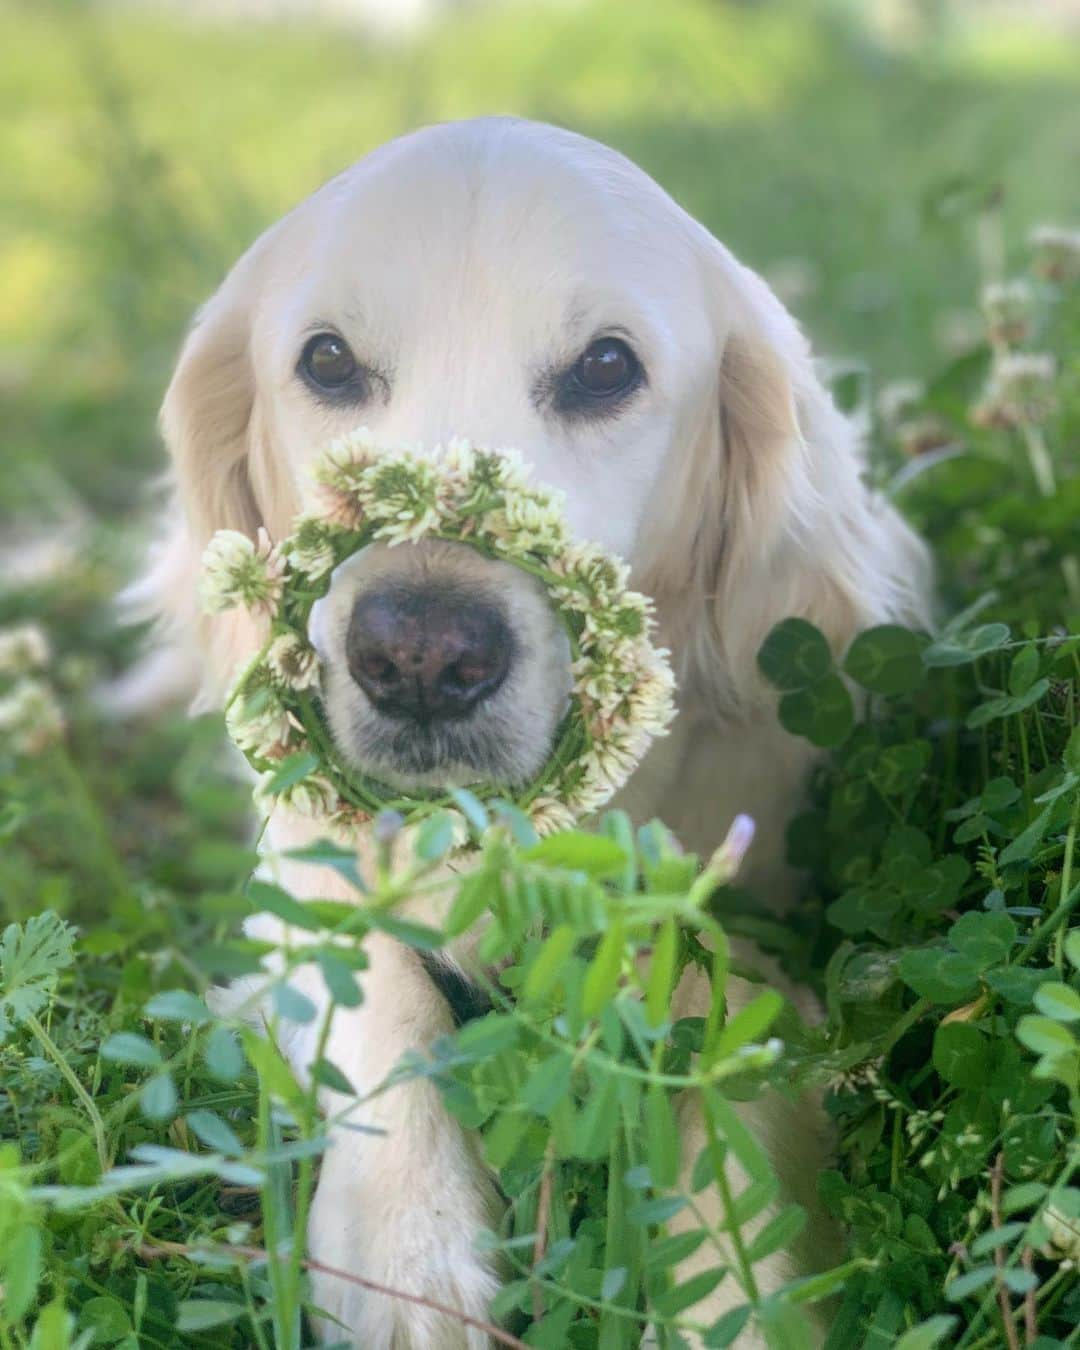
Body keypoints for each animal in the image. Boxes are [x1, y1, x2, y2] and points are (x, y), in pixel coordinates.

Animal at [132, 121, 928, 1344]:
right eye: (327, 361)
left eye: (606, 367)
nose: (420, 657)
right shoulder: (297, 870)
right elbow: (378, 990)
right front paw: (408, 1262)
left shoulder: (758, 925)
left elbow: (737, 1102)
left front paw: (738, 1300)